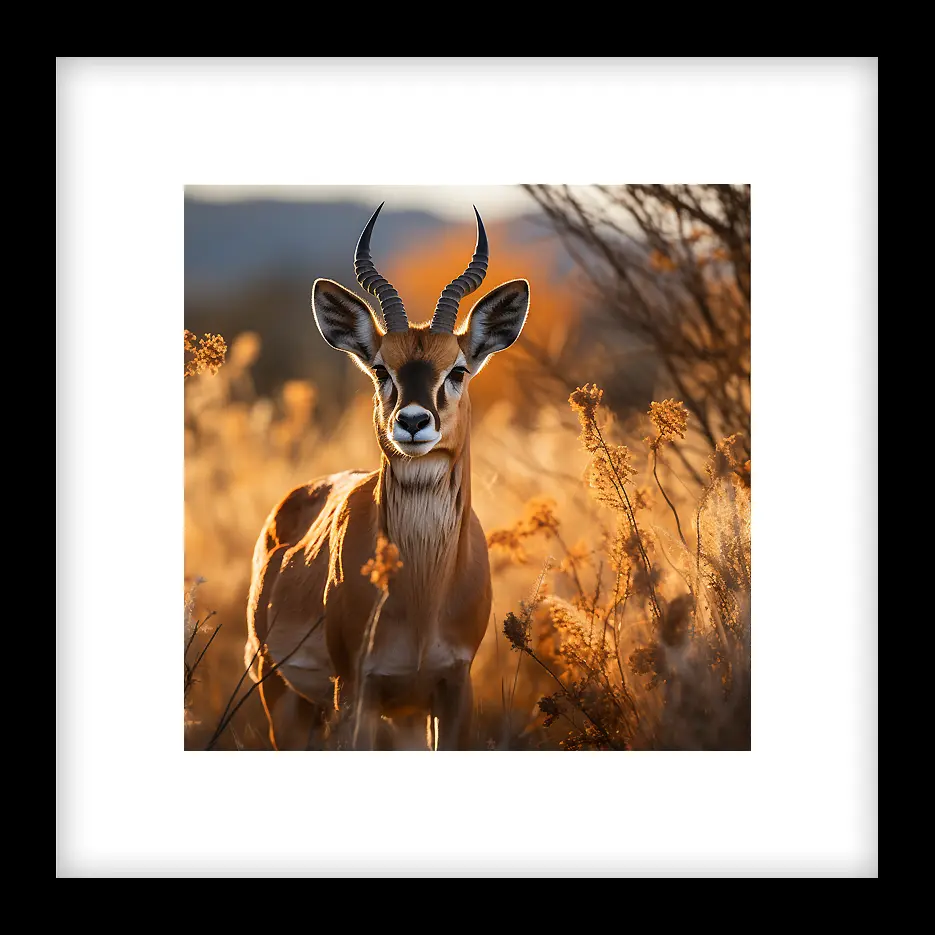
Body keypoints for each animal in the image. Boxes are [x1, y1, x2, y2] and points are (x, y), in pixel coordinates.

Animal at [245, 204, 529, 750]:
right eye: (380, 369)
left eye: (457, 369)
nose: (413, 422)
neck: (421, 597)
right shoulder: (355, 689)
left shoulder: (453, 685)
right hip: (282, 698)